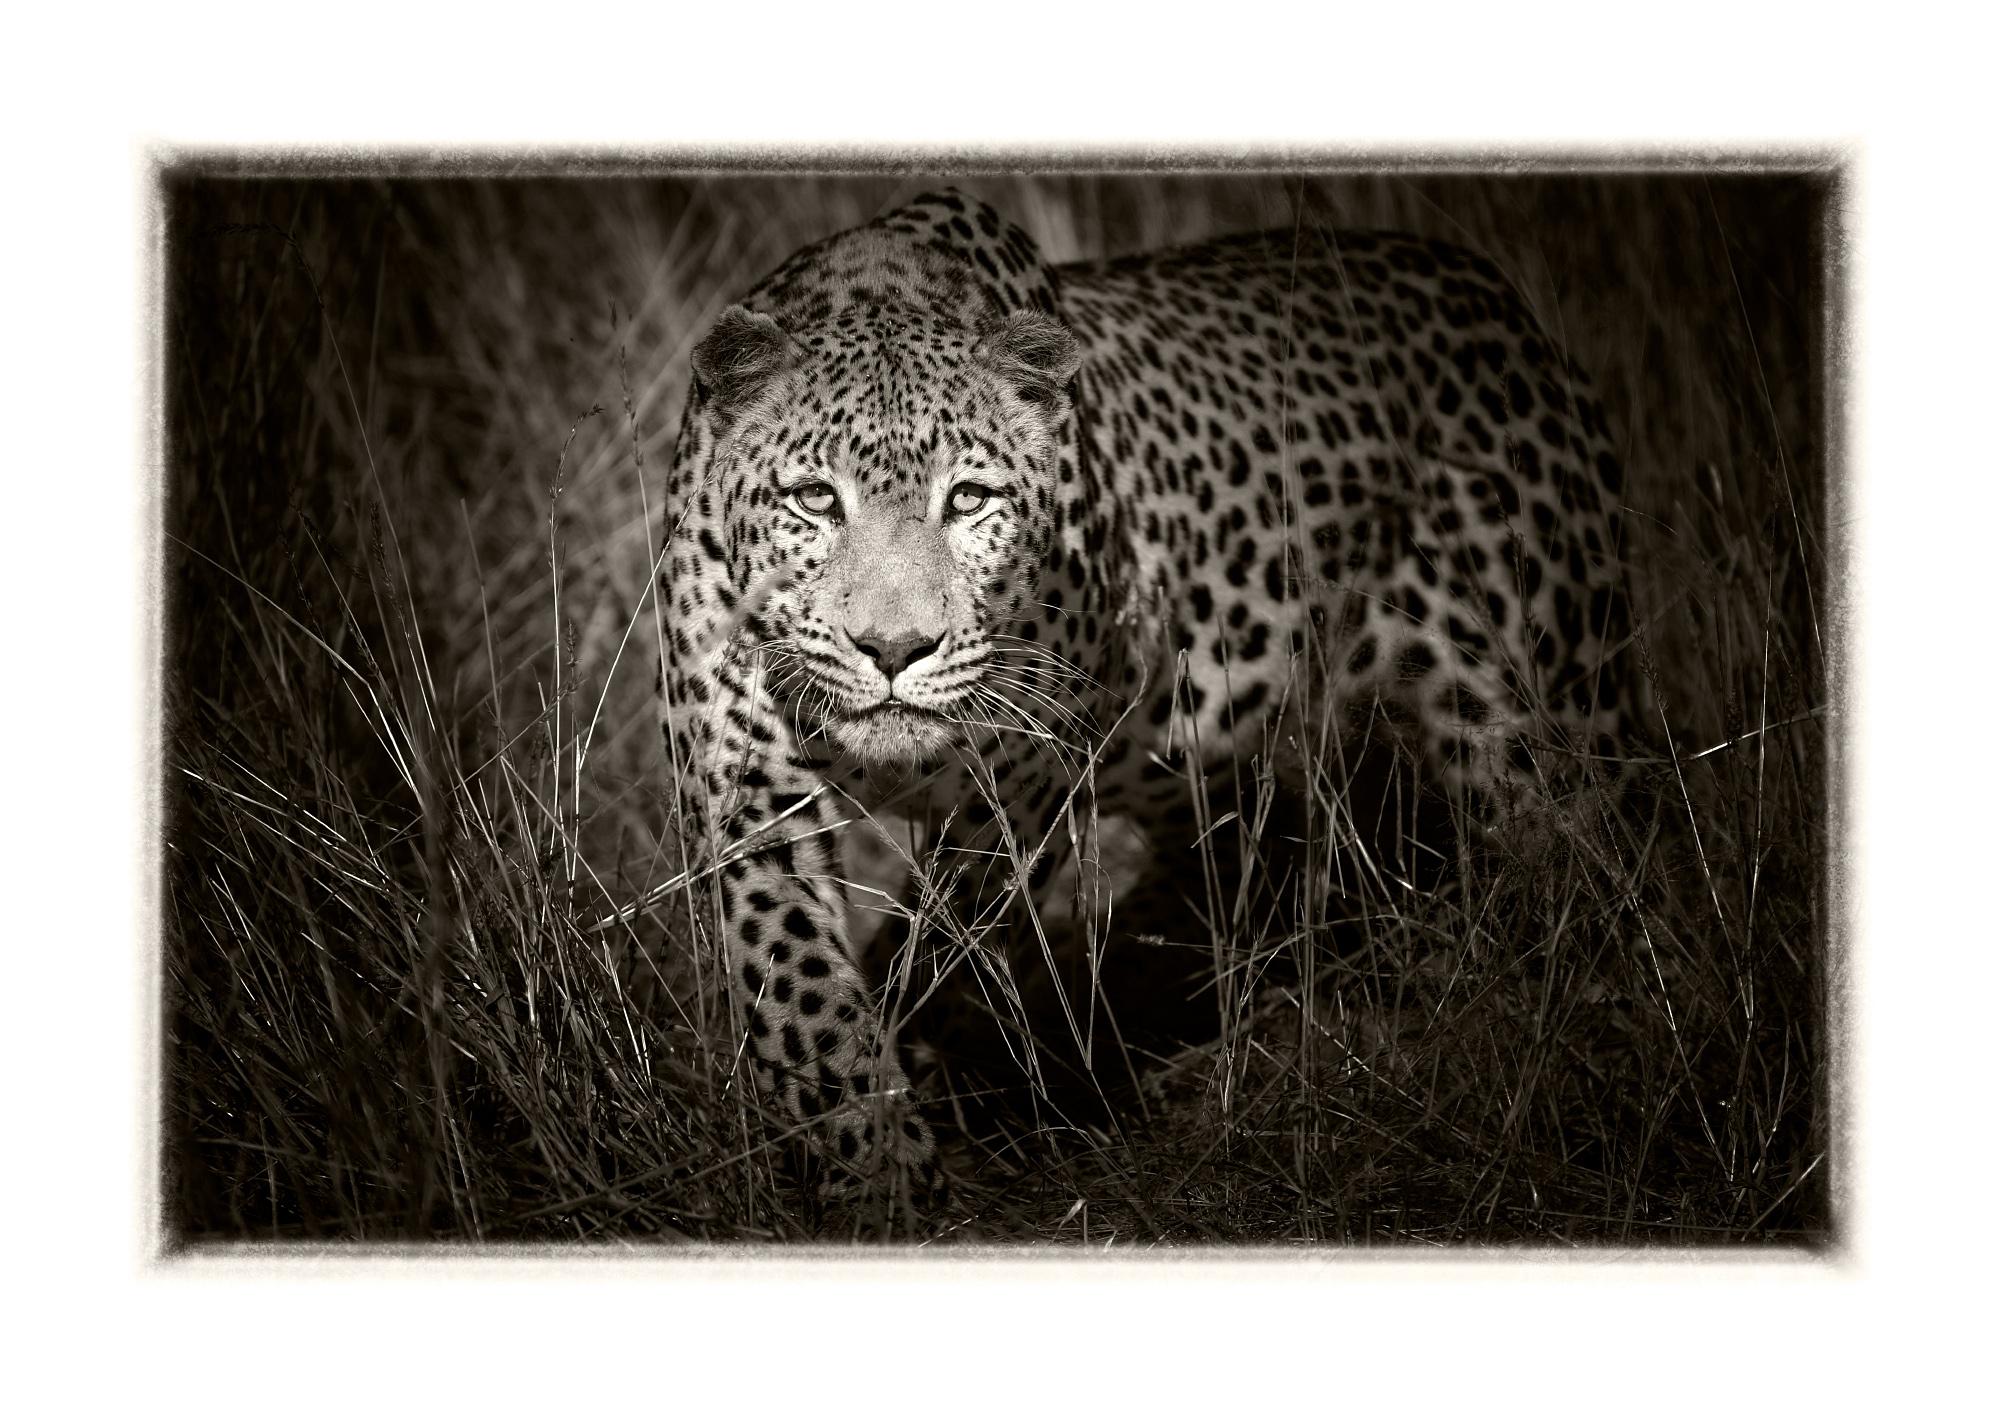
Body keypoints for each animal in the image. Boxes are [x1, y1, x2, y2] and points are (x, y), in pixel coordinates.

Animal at [656, 185, 1640, 1208]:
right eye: (814, 499)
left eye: (968, 500)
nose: (895, 649)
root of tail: (1498, 295)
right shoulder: (746, 787)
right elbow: (796, 979)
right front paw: (872, 1157)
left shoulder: (1024, 788)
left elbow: (952, 936)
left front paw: (913, 1075)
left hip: (1543, 712)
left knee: (1593, 874)